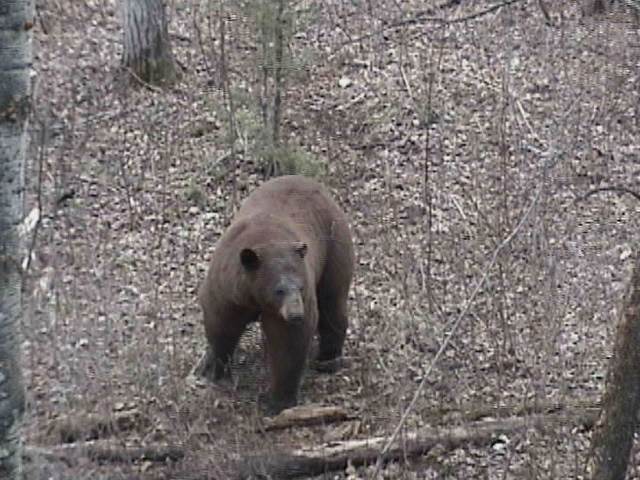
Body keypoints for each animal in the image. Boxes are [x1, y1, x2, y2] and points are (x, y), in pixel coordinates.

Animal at [195, 175, 355, 414]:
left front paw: (280, 401)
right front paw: (214, 369)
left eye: (300, 287)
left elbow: (289, 343)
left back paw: (328, 359)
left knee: (331, 302)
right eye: (279, 290)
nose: (296, 314)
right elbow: (221, 324)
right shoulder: (227, 292)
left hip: (334, 247)